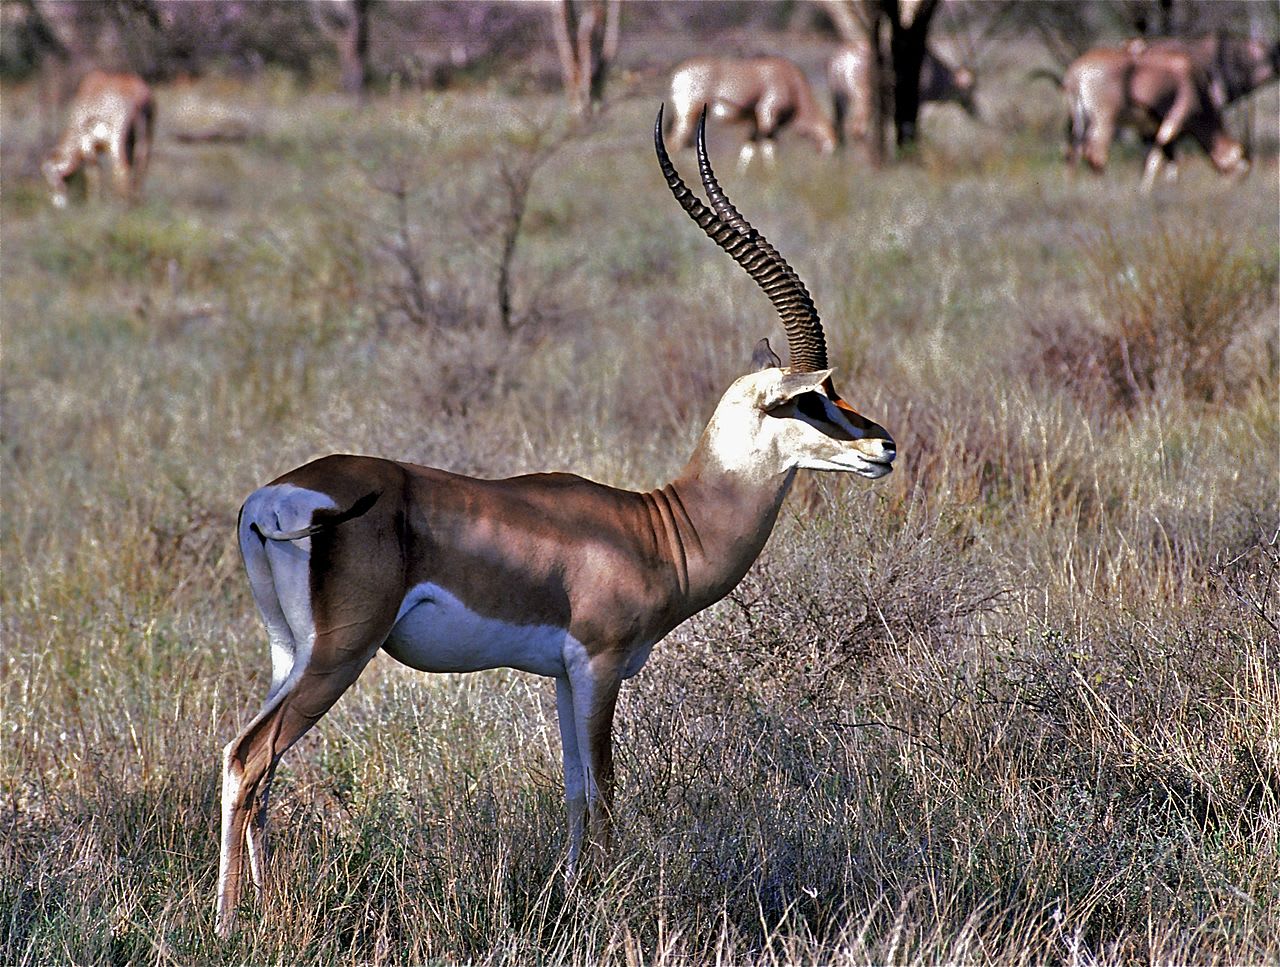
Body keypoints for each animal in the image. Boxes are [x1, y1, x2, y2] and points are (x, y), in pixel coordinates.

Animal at [42, 70, 156, 209]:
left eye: (48, 173)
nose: (56, 204)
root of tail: (140, 94)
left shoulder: (88, 145)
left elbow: (92, 172)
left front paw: (93, 203)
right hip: (145, 138)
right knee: (141, 165)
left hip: (117, 141)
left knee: (121, 167)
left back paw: (121, 203)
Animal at [215, 107, 896, 937]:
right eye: (806, 398)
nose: (884, 446)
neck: (660, 525)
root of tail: (270, 499)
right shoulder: (598, 663)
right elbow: (604, 791)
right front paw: (606, 907)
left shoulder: (563, 676)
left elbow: (573, 789)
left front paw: (570, 899)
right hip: (338, 654)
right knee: (249, 757)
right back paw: (228, 924)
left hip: (290, 652)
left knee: (256, 767)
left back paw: (255, 913)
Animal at [667, 56, 837, 170]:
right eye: (829, 147)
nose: (824, 166)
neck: (792, 82)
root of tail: (677, 75)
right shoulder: (767, 115)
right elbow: (769, 147)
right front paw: (772, 175)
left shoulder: (755, 120)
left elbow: (749, 148)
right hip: (689, 114)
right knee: (674, 144)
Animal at [827, 41, 977, 150]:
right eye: (971, 87)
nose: (974, 111)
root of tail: (845, 58)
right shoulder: (916, 101)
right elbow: (911, 126)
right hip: (864, 99)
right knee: (857, 130)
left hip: (838, 98)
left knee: (839, 129)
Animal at [1063, 44, 1248, 191]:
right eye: (1239, 171)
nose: (1229, 189)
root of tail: (1076, 73)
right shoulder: (1173, 123)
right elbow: (1156, 159)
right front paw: (1145, 190)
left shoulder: (1148, 129)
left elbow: (1164, 161)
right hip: (1104, 122)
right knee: (1095, 154)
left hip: (1079, 123)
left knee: (1073, 153)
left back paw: (1070, 188)